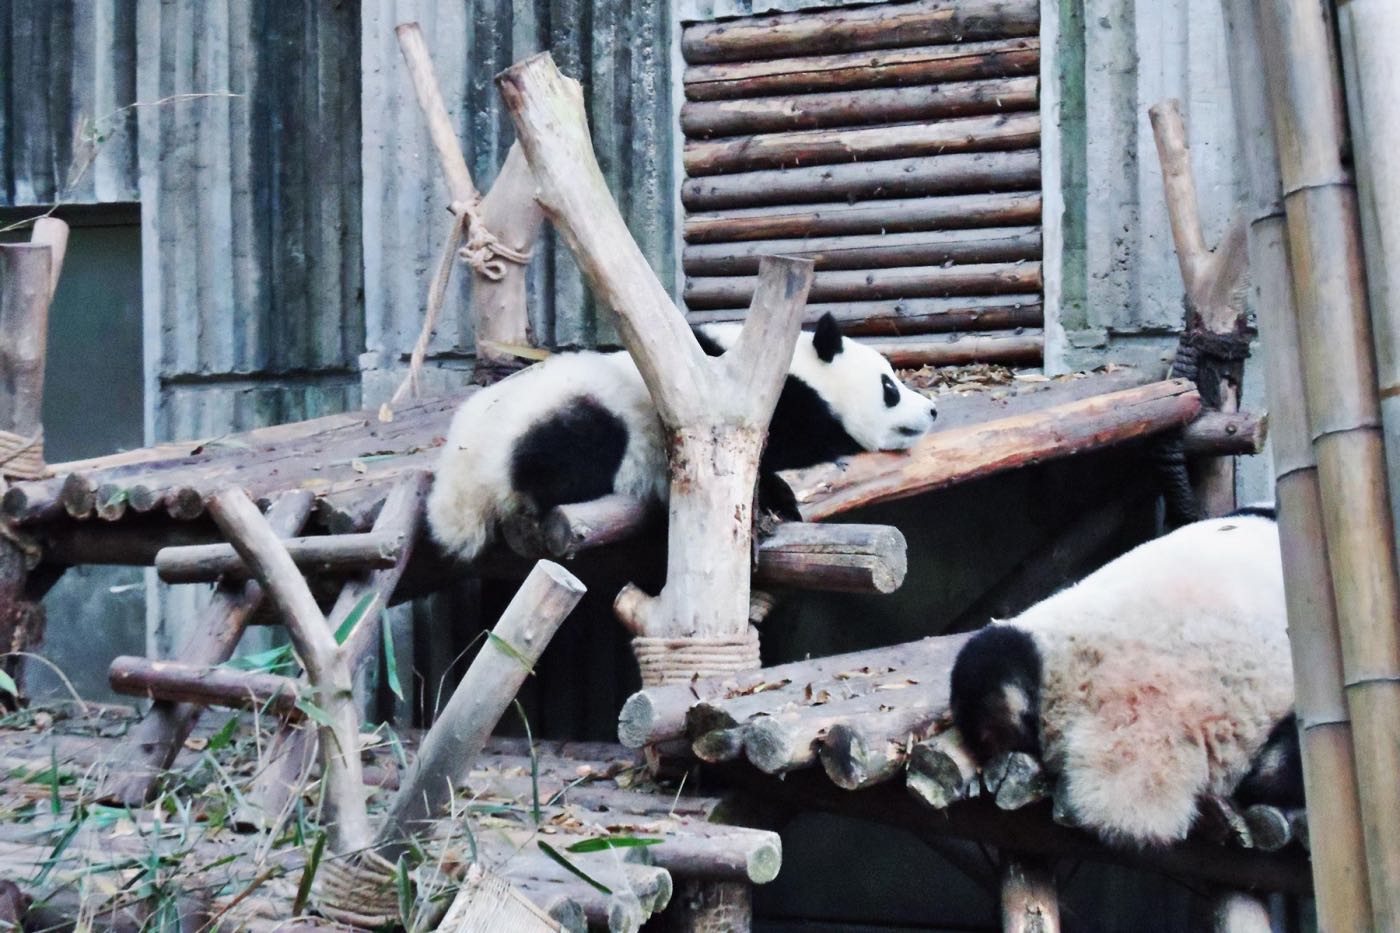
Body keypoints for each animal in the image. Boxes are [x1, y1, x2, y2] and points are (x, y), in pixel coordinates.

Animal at [420, 312, 935, 560]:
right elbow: (790, 441)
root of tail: (458, 483)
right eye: (889, 388)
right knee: (573, 451)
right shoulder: (759, 402)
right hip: (568, 416)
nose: (931, 409)